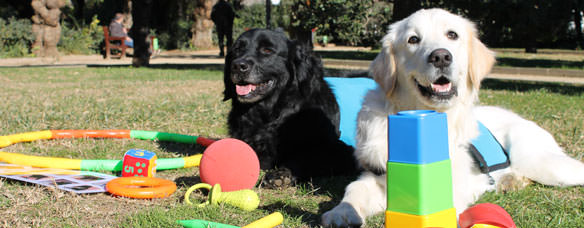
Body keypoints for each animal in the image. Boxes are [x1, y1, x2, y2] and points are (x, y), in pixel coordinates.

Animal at [224, 29, 358, 188]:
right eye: (237, 49)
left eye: (267, 50)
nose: (238, 66)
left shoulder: (341, 151)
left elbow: (305, 157)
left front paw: (282, 174)